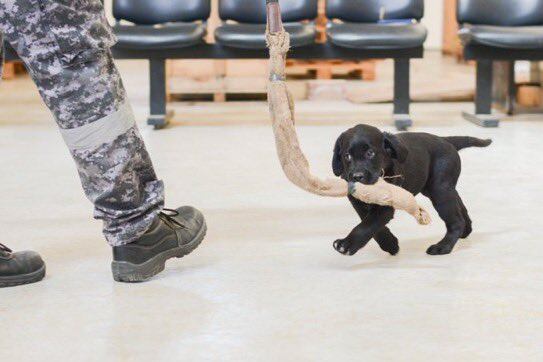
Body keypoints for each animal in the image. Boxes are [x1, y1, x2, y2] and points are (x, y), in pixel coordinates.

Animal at [332, 126, 492, 256]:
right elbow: (371, 225)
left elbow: (367, 225)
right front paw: (390, 245)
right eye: (347, 156)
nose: (356, 176)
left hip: (439, 191)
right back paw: (466, 231)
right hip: (438, 188)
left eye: (370, 153)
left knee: (456, 221)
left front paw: (346, 245)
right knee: (459, 206)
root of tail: (446, 140)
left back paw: (442, 247)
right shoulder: (358, 203)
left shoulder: (385, 206)